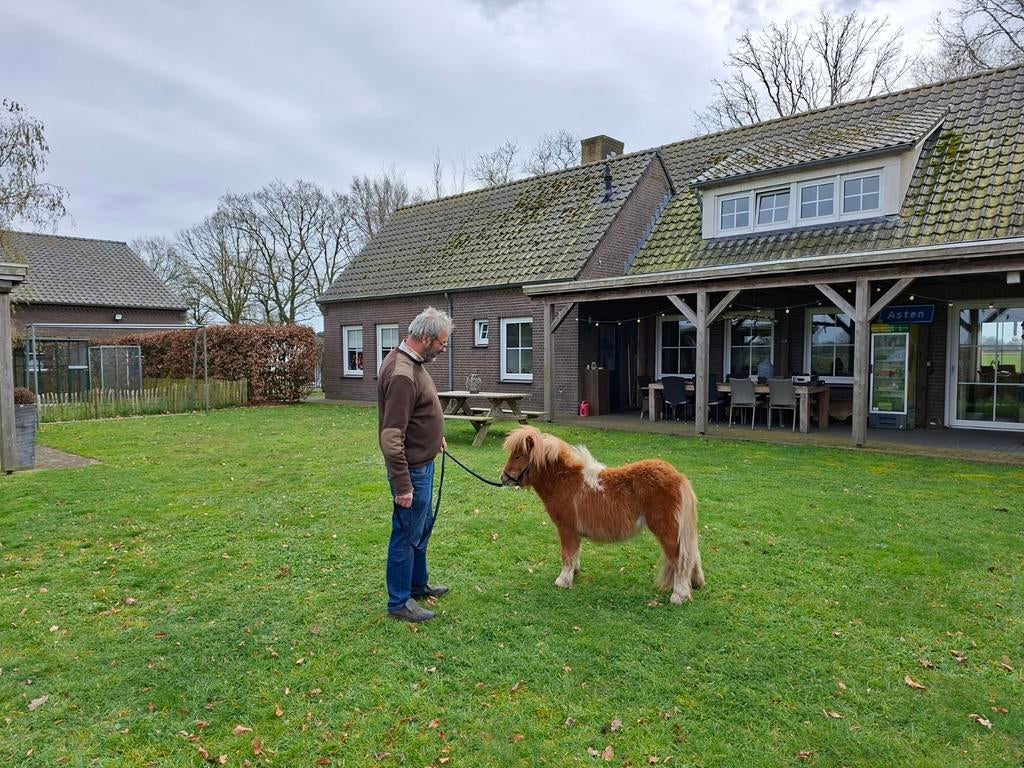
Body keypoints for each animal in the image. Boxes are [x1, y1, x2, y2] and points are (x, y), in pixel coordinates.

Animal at [501, 426, 703, 604]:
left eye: (517, 456)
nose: (503, 478)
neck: (564, 481)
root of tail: (679, 477)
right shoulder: (574, 532)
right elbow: (575, 553)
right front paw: (574, 573)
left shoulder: (566, 529)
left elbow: (567, 554)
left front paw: (563, 581)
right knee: (693, 554)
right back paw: (696, 584)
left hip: (667, 530)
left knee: (680, 559)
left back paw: (679, 596)